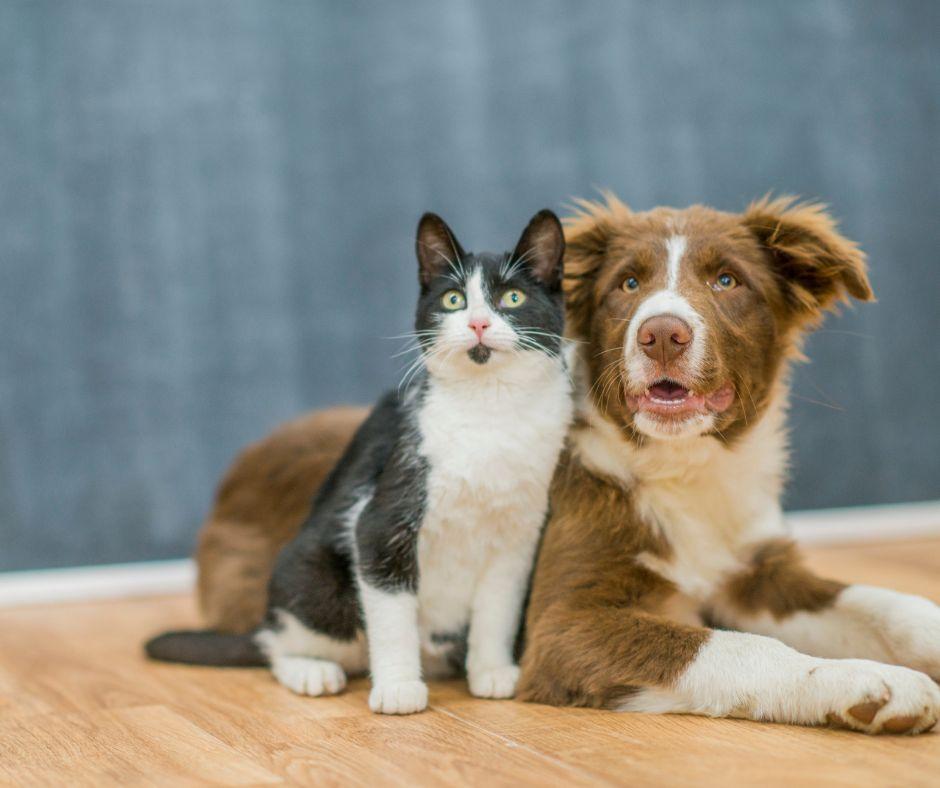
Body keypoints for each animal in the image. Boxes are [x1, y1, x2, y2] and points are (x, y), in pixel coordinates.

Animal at [147, 208, 572, 716]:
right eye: (453, 299)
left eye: (512, 297)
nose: (477, 325)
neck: (490, 410)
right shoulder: (382, 520)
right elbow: (391, 614)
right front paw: (398, 688)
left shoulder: (517, 538)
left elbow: (498, 609)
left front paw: (491, 671)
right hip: (316, 581)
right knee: (278, 644)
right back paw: (311, 670)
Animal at [516, 194, 940, 736]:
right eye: (628, 284)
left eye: (726, 280)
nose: (662, 335)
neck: (687, 466)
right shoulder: (562, 624)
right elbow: (738, 647)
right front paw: (866, 680)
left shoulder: (757, 574)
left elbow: (881, 602)